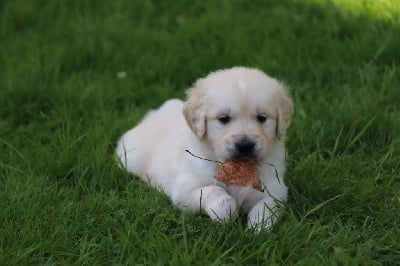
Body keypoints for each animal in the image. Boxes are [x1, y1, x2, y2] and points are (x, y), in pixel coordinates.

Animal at [115, 67, 294, 231]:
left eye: (262, 118)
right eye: (223, 119)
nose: (245, 145)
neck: (237, 168)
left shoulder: (275, 189)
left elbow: (269, 205)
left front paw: (258, 226)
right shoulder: (185, 190)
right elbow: (213, 190)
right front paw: (226, 211)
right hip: (130, 157)